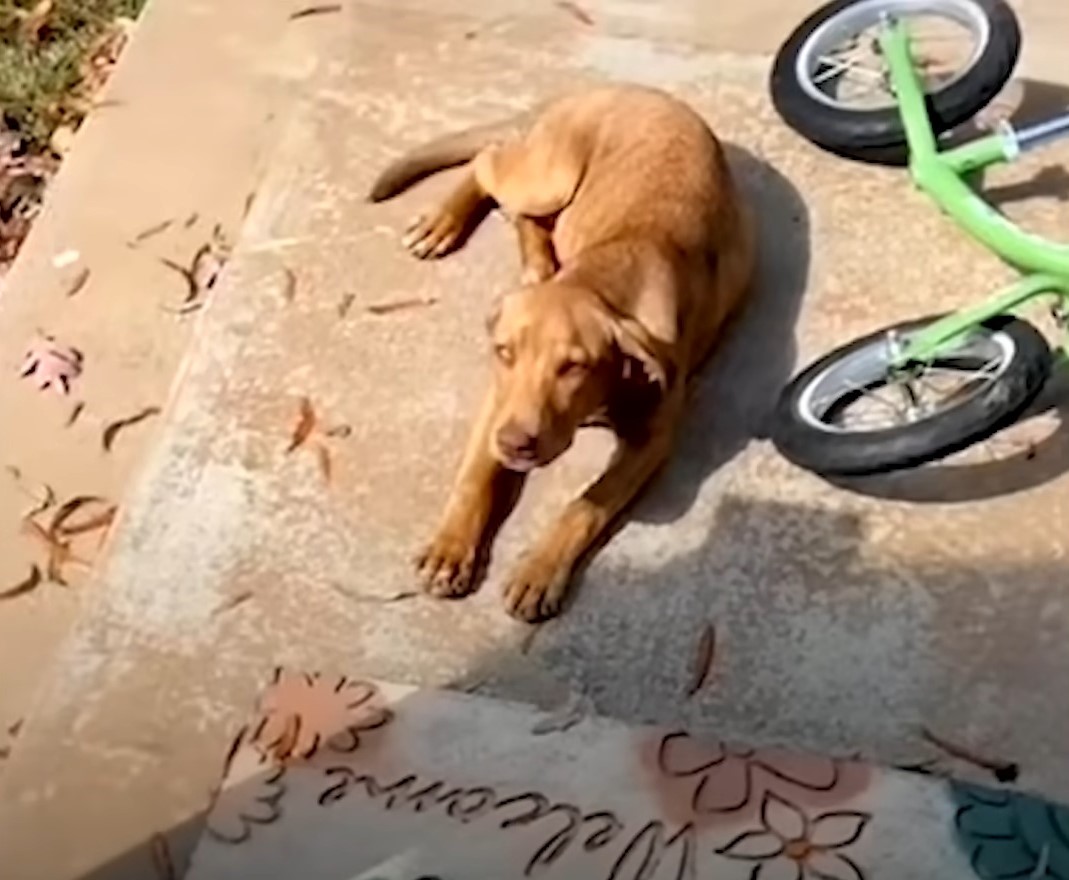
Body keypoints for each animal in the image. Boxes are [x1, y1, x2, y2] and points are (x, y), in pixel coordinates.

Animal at [372, 82, 756, 620]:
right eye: (504, 353)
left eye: (574, 366)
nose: (517, 444)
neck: (602, 278)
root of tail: (618, 87)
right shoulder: (499, 404)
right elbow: (475, 477)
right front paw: (450, 548)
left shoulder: (651, 439)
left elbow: (585, 505)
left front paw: (539, 569)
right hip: (548, 175)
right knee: (490, 165)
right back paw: (446, 223)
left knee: (519, 207)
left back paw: (532, 259)